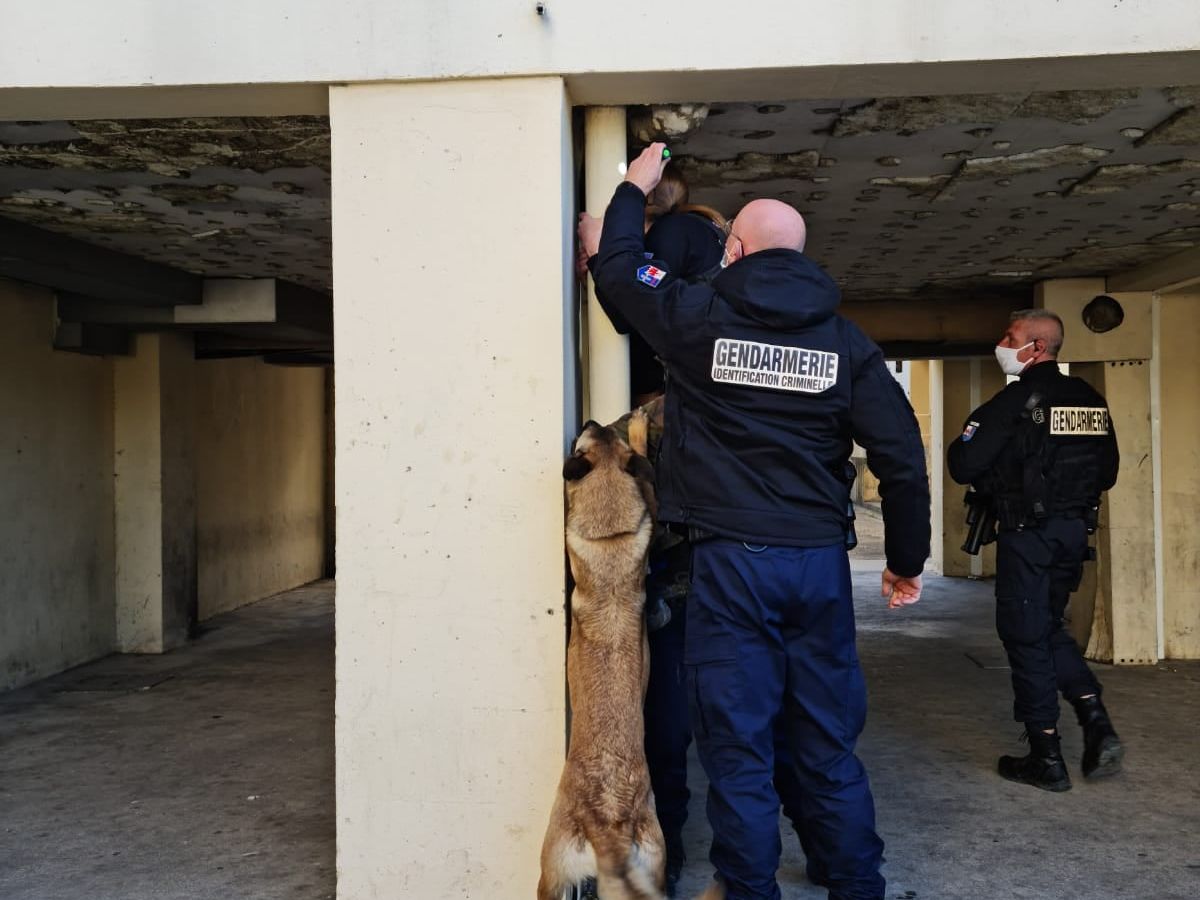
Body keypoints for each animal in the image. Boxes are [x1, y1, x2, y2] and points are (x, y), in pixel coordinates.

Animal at [537, 417, 667, 900]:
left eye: (582, 442)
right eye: (597, 435)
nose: (591, 420)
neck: (611, 535)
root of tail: (608, 823)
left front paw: (638, 426)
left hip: (550, 873)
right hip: (653, 867)